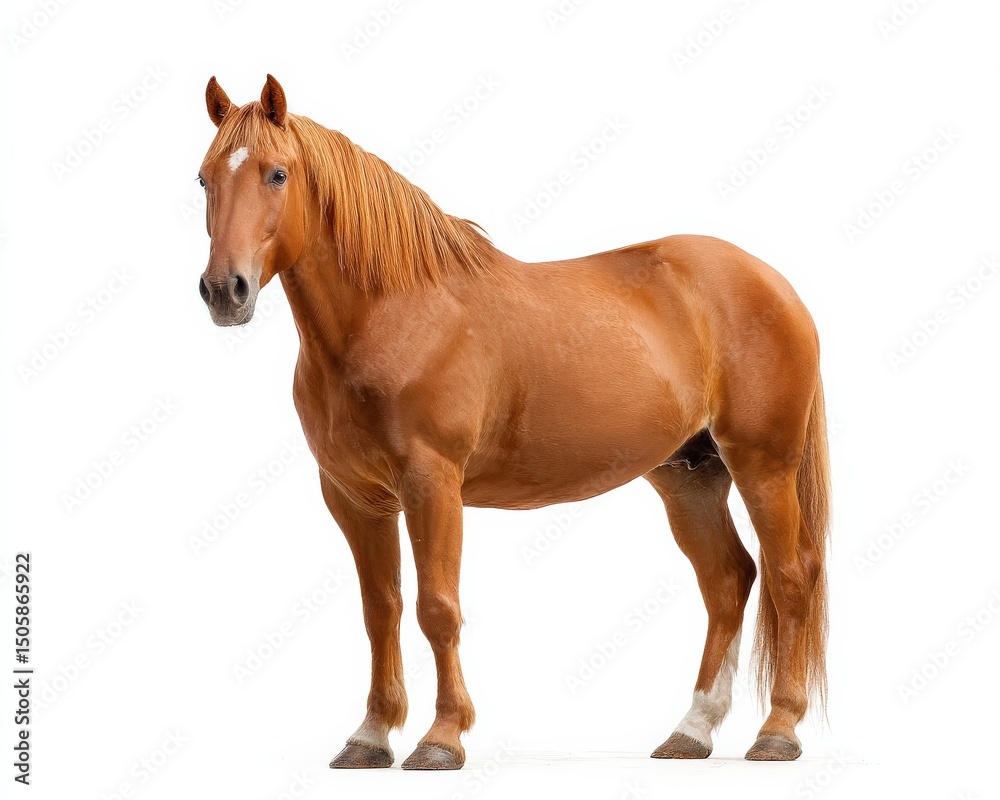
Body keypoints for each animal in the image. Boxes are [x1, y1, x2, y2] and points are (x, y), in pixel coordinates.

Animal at [196, 75, 831, 770]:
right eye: (204, 179)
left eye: (277, 173)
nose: (225, 291)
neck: (392, 313)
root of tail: (773, 281)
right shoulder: (353, 497)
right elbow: (379, 611)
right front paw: (369, 736)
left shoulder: (432, 483)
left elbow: (436, 607)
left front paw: (442, 738)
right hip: (689, 475)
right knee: (727, 580)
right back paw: (692, 730)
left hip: (763, 465)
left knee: (791, 576)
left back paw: (778, 731)